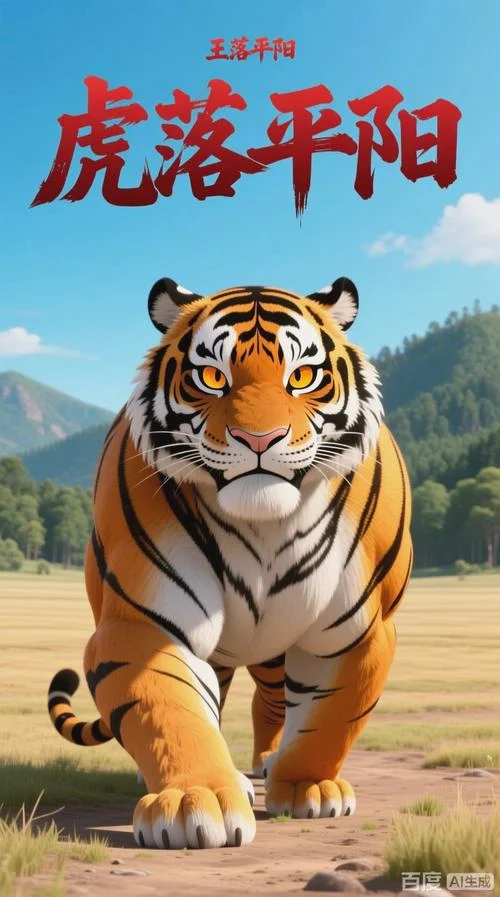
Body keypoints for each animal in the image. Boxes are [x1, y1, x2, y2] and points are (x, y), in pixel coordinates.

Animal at [47, 275, 412, 850]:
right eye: (213, 377)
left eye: (301, 376)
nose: (259, 439)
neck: (263, 523)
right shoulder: (142, 625)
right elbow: (170, 709)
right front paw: (194, 803)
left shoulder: (358, 633)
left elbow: (333, 715)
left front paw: (308, 787)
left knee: (272, 702)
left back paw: (266, 764)